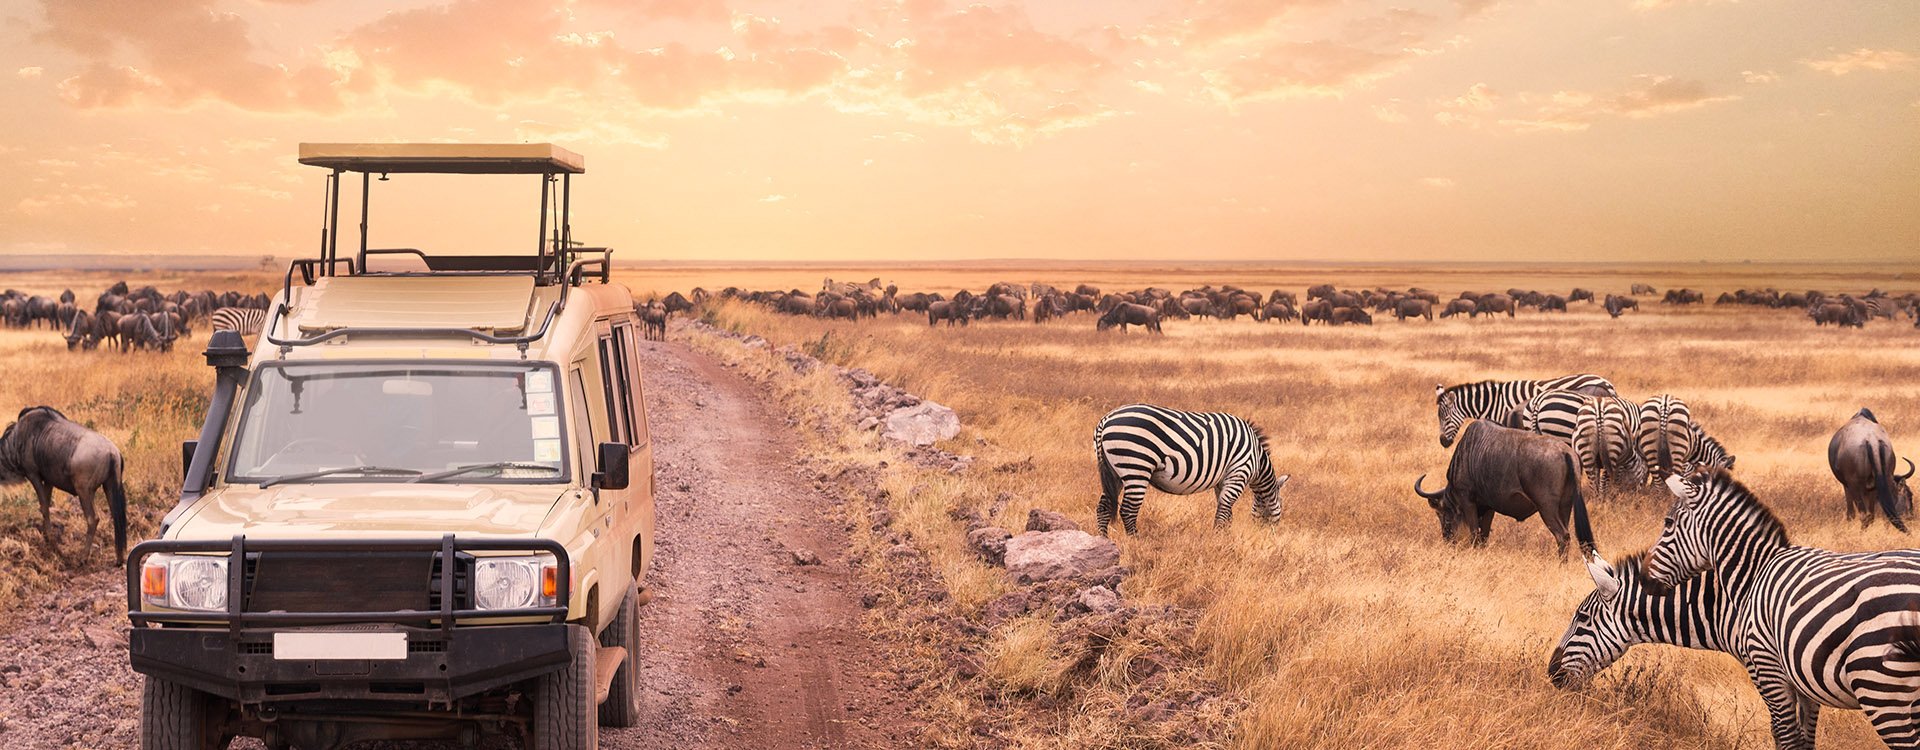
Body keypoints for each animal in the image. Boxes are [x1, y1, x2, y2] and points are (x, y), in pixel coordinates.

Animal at [1098, 404, 1290, 533]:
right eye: (1281, 503)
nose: (1268, 535)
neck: (1257, 458)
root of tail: (1105, 419)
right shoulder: (1239, 472)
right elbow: (1224, 508)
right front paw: (1218, 538)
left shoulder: (1223, 480)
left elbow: (1225, 510)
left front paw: (1225, 535)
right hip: (1136, 466)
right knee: (1128, 511)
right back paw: (1136, 541)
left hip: (1115, 472)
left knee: (1103, 507)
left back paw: (1104, 540)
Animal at [1635, 466, 1920, 748]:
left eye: (1668, 523)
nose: (1643, 578)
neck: (1755, 572)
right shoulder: (1802, 675)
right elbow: (1804, 737)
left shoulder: (1766, 664)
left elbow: (1786, 735)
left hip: (1880, 688)